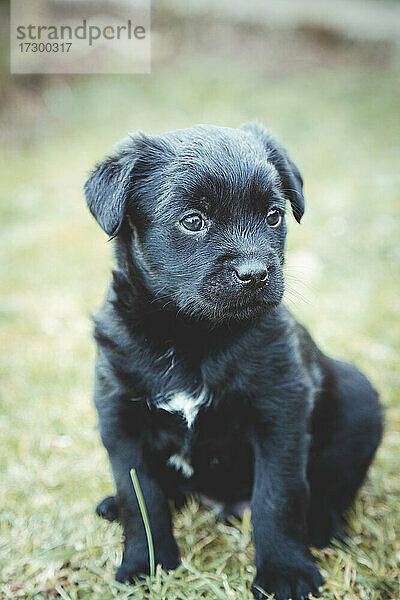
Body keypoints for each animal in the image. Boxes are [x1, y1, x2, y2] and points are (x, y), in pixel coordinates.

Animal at [83, 124, 382, 600]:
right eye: (193, 221)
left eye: (274, 215)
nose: (256, 274)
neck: (194, 337)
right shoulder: (120, 418)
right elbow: (141, 498)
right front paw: (145, 565)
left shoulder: (280, 412)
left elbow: (278, 497)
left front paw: (285, 572)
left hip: (359, 398)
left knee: (330, 489)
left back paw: (322, 530)